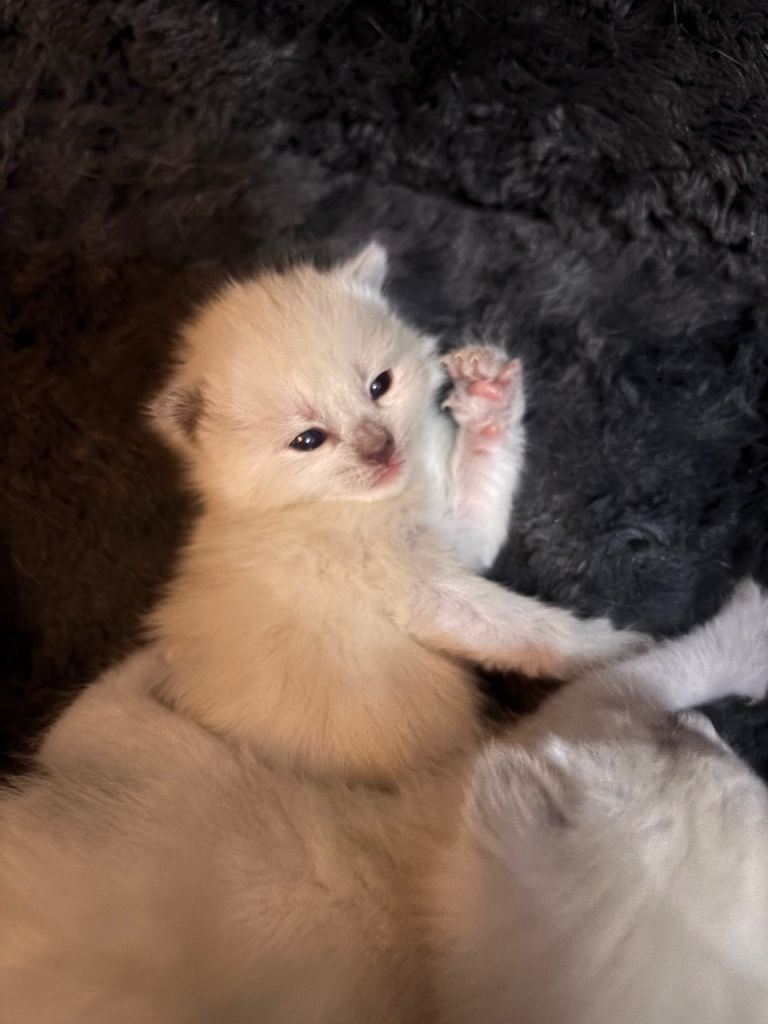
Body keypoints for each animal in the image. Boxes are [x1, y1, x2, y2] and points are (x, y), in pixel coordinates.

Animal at [0, 242, 642, 1023]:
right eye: (309, 440)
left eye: (379, 386)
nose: (380, 447)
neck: (321, 509)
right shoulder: (427, 592)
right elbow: (522, 628)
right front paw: (617, 649)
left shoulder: (453, 543)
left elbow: (477, 493)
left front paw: (486, 399)